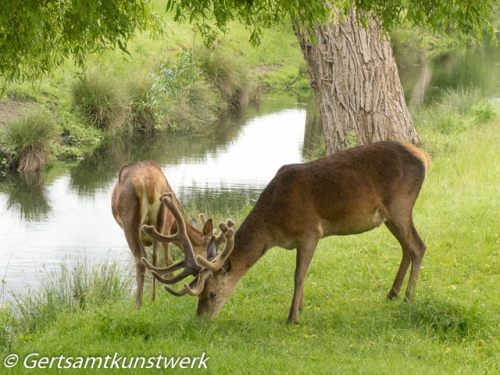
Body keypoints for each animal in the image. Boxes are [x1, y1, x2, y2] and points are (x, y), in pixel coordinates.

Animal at [112, 162, 226, 308]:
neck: (174, 227)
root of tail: (149, 181)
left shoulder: (167, 229)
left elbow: (167, 259)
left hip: (132, 221)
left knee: (143, 257)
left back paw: (138, 304)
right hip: (160, 220)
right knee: (155, 256)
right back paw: (152, 297)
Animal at [144, 142, 430, 324]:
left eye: (211, 293)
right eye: (199, 293)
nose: (201, 319)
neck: (274, 227)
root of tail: (424, 156)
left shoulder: (311, 231)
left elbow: (299, 275)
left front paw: (293, 317)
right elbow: (302, 275)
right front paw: (301, 307)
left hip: (400, 205)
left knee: (418, 246)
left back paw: (408, 298)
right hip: (389, 215)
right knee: (407, 247)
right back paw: (392, 293)